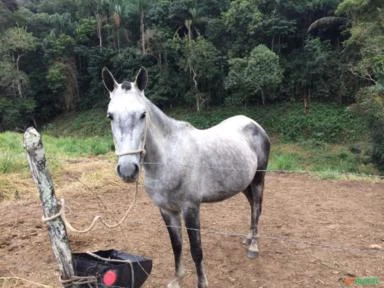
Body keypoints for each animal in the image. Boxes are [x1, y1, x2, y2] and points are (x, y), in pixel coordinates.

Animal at [102, 67, 270, 288]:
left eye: (142, 114)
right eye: (110, 116)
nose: (128, 169)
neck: (169, 158)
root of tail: (254, 125)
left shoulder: (191, 208)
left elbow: (196, 250)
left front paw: (202, 283)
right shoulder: (167, 210)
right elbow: (177, 246)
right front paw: (177, 279)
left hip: (259, 179)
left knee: (257, 208)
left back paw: (254, 247)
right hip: (244, 184)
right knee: (252, 207)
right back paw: (248, 238)